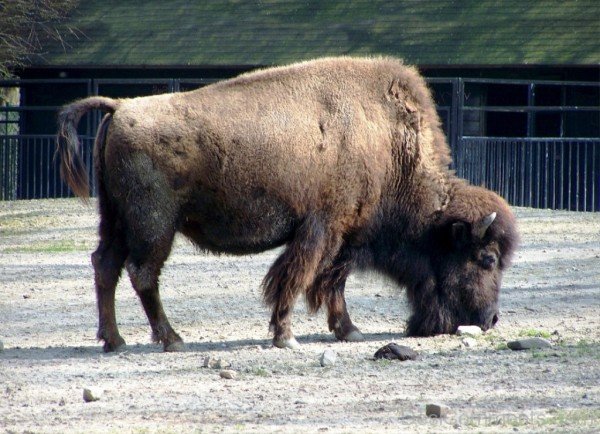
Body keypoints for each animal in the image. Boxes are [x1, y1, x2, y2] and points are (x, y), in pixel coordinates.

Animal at [55, 56, 516, 352]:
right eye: (487, 258)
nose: (491, 319)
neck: (388, 143)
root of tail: (120, 108)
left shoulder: (344, 236)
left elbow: (331, 282)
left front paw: (348, 331)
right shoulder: (321, 229)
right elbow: (298, 277)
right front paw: (286, 336)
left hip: (114, 219)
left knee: (105, 266)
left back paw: (114, 341)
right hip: (154, 226)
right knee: (142, 273)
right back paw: (171, 340)